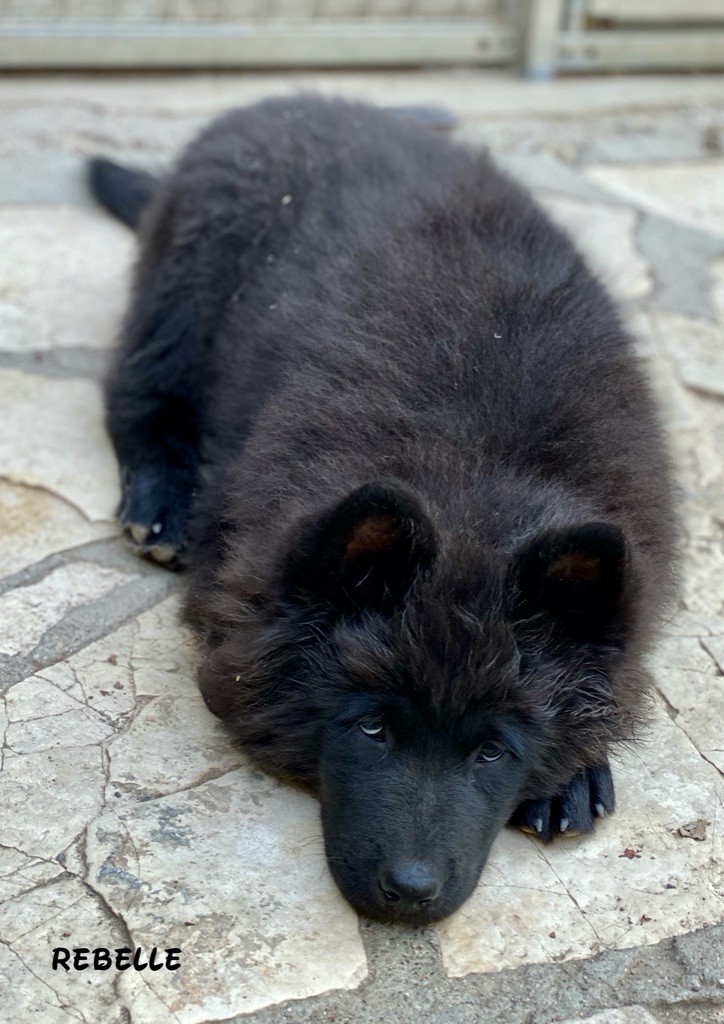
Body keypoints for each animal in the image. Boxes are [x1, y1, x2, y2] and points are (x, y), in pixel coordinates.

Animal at [92, 97, 679, 929]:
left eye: (492, 751)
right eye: (372, 728)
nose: (411, 892)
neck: (476, 457)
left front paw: (575, 771)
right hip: (182, 290)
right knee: (138, 390)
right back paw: (161, 503)